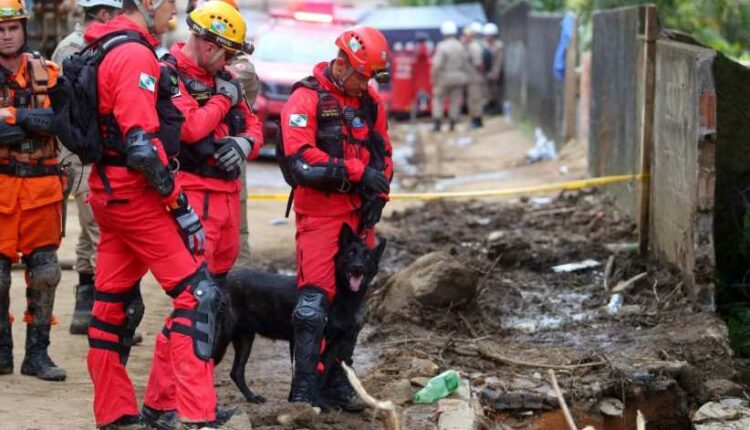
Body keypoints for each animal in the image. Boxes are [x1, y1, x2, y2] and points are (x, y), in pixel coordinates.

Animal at [213, 223, 384, 404]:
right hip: (221, 338)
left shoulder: (335, 344)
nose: (357, 266)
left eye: (367, 257)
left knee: (236, 372)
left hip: (245, 339)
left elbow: (323, 374)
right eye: (350, 253)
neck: (343, 297)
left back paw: (252, 397)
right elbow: (312, 372)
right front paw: (311, 403)